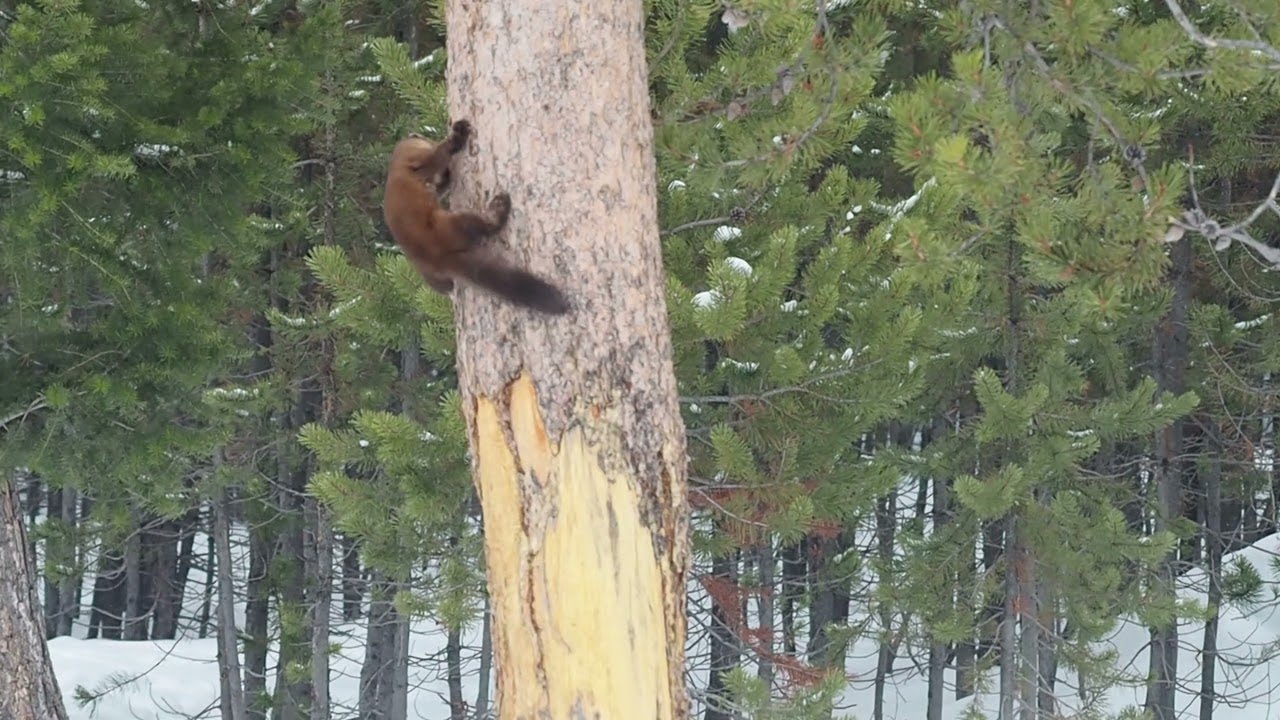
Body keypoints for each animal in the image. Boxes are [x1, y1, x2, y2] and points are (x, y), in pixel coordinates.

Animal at [381, 119, 570, 315]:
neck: (397, 160)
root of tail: (438, 257)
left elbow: (439, 182)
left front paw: (447, 175)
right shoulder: (418, 159)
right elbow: (440, 153)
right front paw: (460, 132)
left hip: (431, 276)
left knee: (443, 285)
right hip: (452, 223)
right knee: (483, 225)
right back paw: (500, 206)